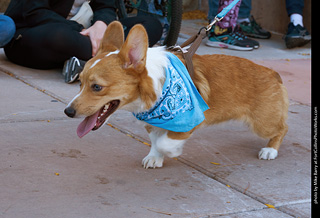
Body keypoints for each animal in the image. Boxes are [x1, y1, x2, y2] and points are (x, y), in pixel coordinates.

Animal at [63, 20, 288, 169]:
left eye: (97, 87)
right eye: (80, 83)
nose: (68, 112)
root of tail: (273, 73)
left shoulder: (191, 118)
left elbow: (165, 141)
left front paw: (172, 152)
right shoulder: (152, 122)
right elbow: (156, 140)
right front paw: (155, 157)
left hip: (262, 124)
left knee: (282, 129)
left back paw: (270, 150)